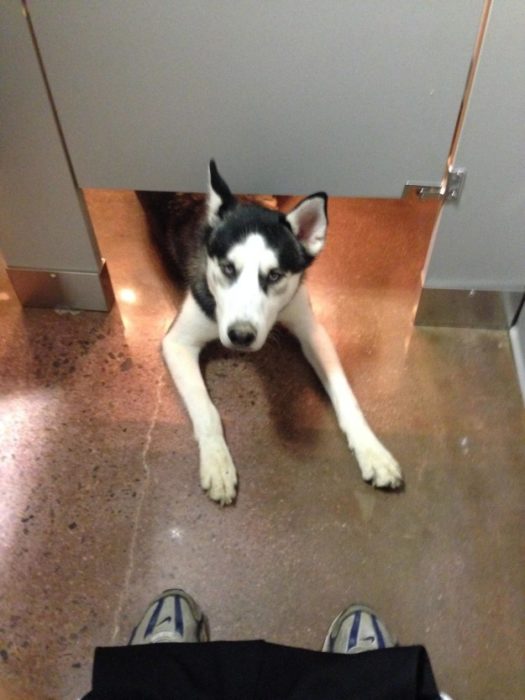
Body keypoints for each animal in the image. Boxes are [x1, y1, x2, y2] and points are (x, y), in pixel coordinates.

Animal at [138, 161, 402, 506]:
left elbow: (346, 395)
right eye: (227, 268)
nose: (240, 335)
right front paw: (218, 462)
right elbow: (207, 411)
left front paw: (373, 451)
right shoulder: (177, 342)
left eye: (275, 275)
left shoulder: (311, 329)